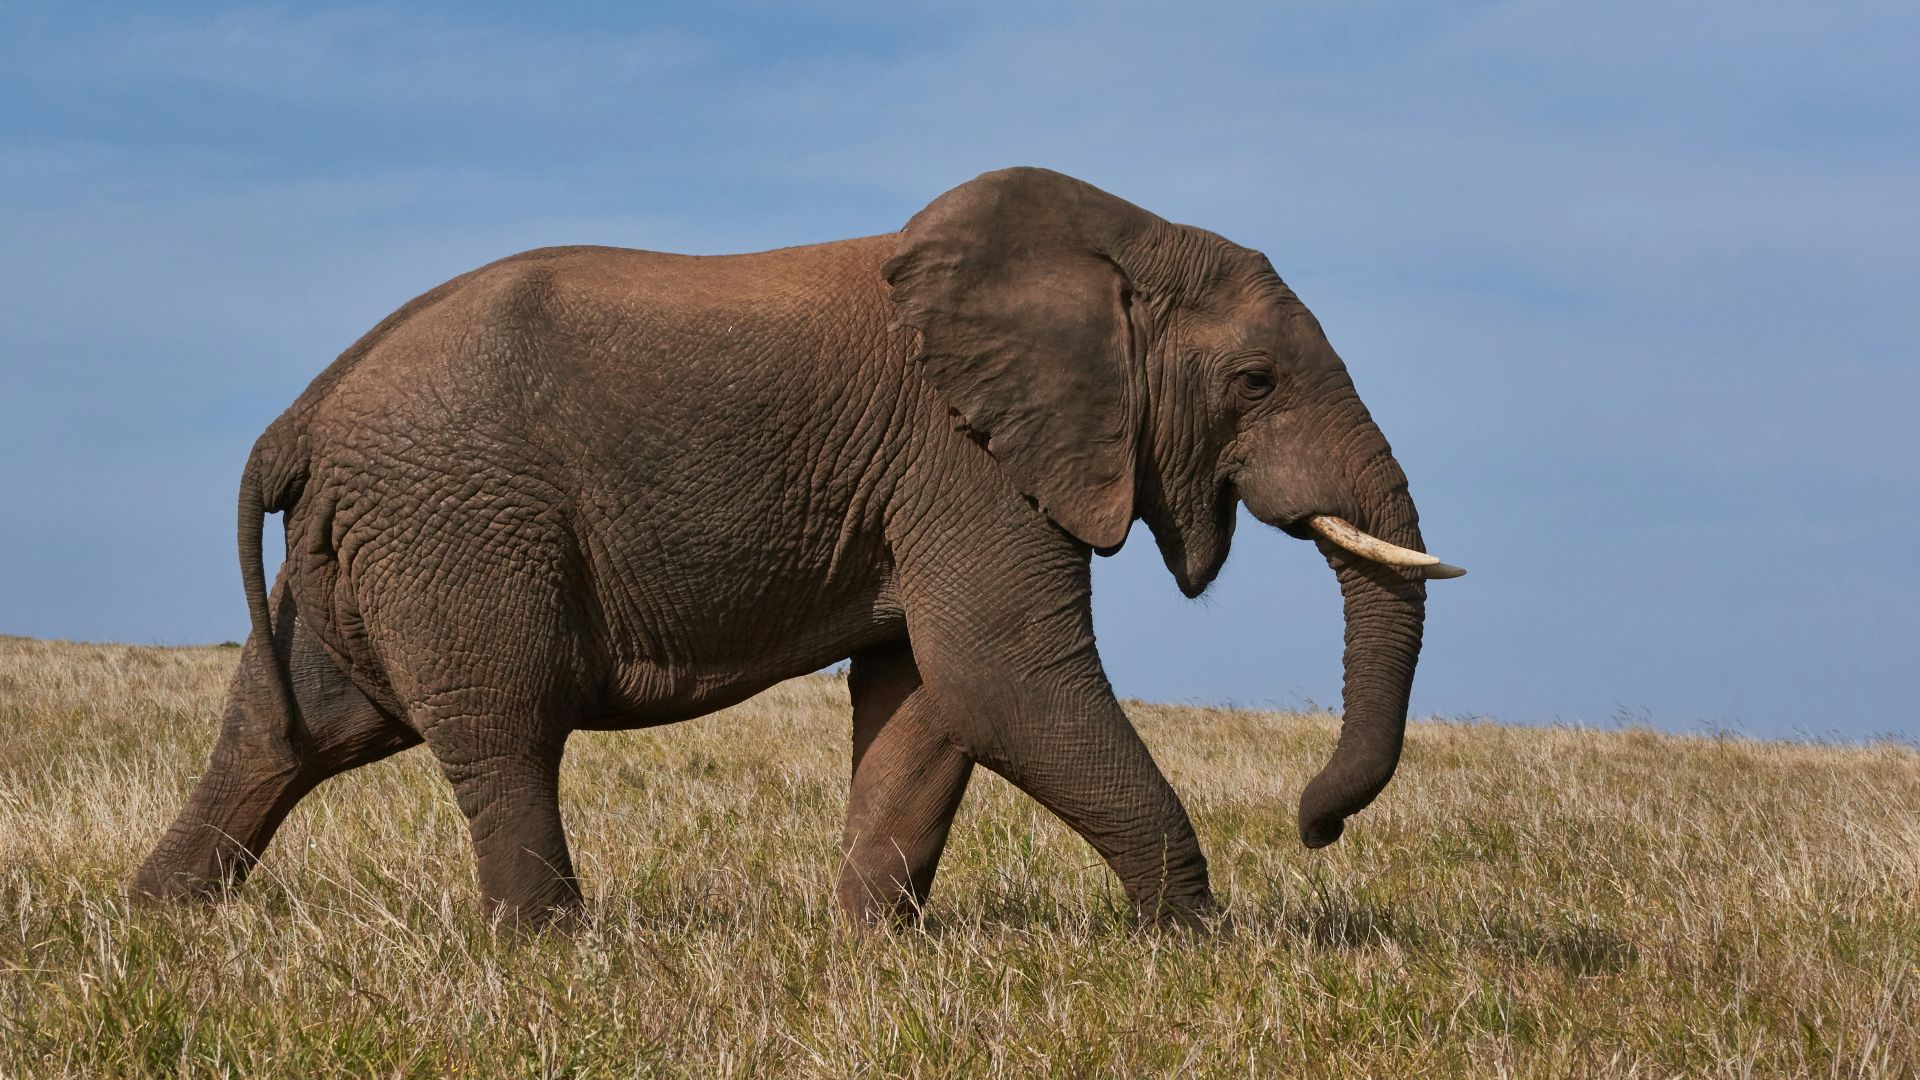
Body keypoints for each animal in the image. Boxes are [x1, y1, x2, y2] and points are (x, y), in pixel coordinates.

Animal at [133, 167, 1462, 927]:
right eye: (1256, 381)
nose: (1315, 827)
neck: (1114, 244)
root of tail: (304, 413)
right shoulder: (964, 459)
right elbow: (1005, 678)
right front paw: (1190, 943)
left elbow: (929, 698)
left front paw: (869, 951)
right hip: (457, 525)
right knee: (501, 729)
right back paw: (549, 951)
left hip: (371, 545)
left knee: (291, 728)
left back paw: (160, 924)